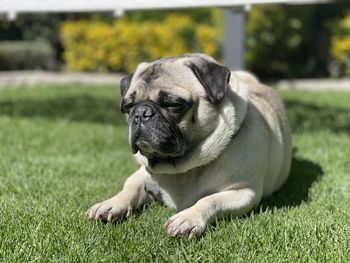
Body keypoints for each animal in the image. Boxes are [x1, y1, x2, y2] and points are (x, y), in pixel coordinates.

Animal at [87, 53, 292, 239]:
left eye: (172, 104)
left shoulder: (244, 192)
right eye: (128, 106)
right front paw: (111, 203)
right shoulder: (141, 175)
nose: (140, 113)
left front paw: (188, 218)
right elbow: (129, 189)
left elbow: (210, 200)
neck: (181, 168)